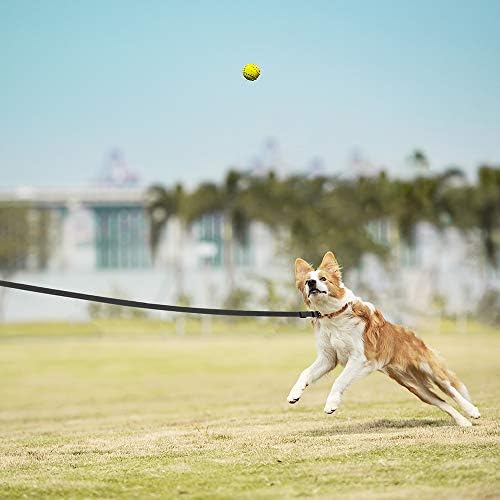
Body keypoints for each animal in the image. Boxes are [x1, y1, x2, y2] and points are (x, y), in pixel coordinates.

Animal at [290, 250, 480, 426]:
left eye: (323, 279)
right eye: (307, 281)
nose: (311, 283)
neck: (332, 315)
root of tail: (411, 333)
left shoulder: (359, 357)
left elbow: (339, 380)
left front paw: (331, 404)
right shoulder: (328, 357)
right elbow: (305, 372)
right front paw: (295, 393)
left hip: (428, 367)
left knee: (451, 389)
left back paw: (472, 410)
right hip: (416, 387)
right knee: (441, 401)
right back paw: (463, 422)